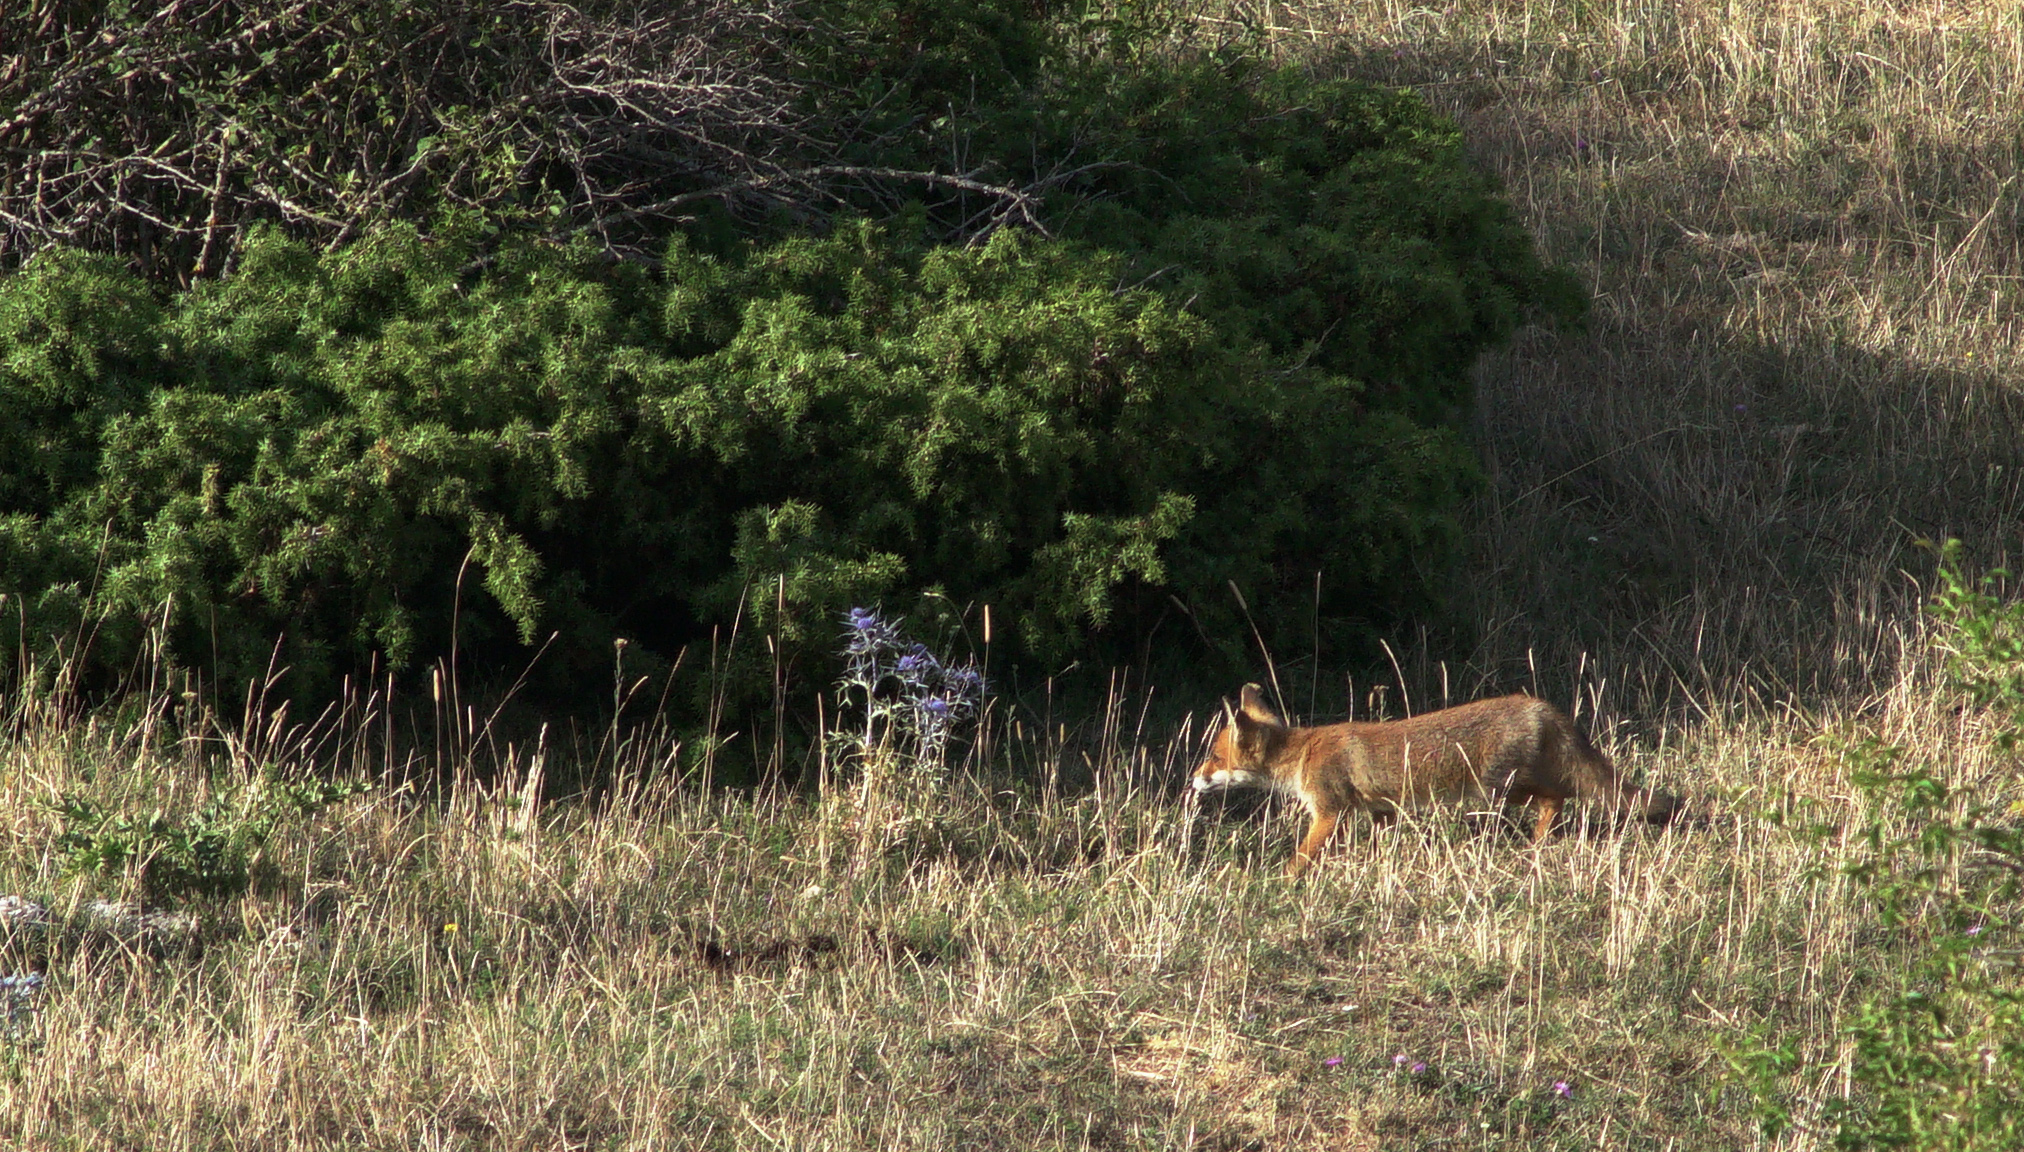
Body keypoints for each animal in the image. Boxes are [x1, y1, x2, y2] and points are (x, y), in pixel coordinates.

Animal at [1192, 684, 1680, 877]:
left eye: (1212, 758)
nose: (1192, 781)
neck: (1303, 753)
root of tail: (1539, 705)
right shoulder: (1380, 810)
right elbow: (1380, 840)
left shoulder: (1329, 812)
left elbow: (1302, 856)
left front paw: (1281, 879)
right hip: (1504, 788)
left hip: (1498, 788)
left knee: (1557, 796)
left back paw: (1539, 841)